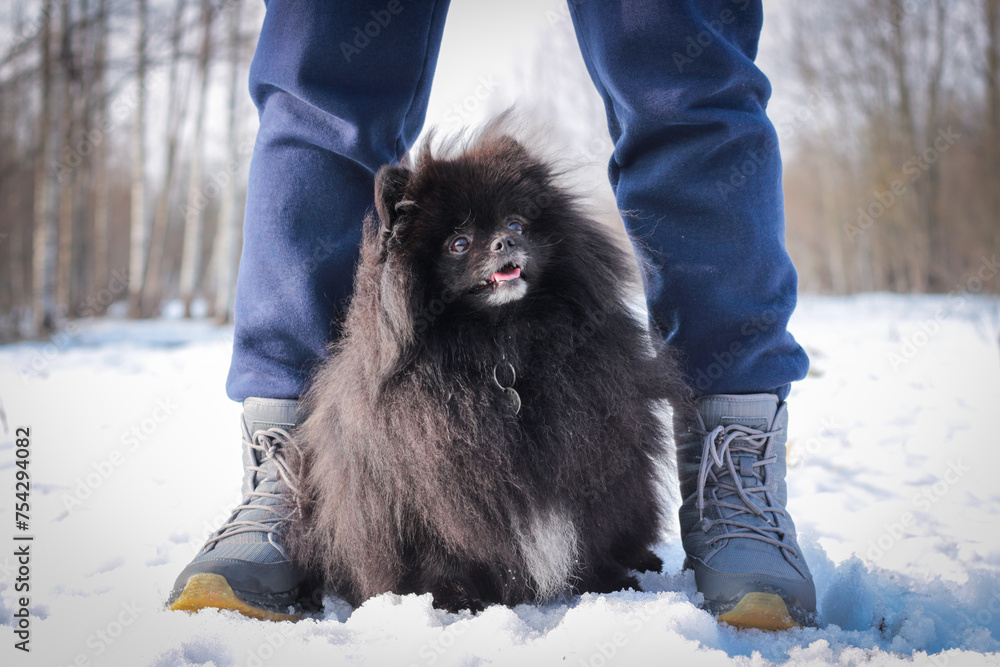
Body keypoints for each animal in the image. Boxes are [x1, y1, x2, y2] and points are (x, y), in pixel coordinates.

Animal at [284, 121, 688, 616]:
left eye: (516, 223)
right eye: (458, 244)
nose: (505, 241)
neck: (502, 347)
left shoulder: (593, 457)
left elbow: (595, 526)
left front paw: (608, 582)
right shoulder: (429, 489)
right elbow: (444, 554)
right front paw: (453, 598)